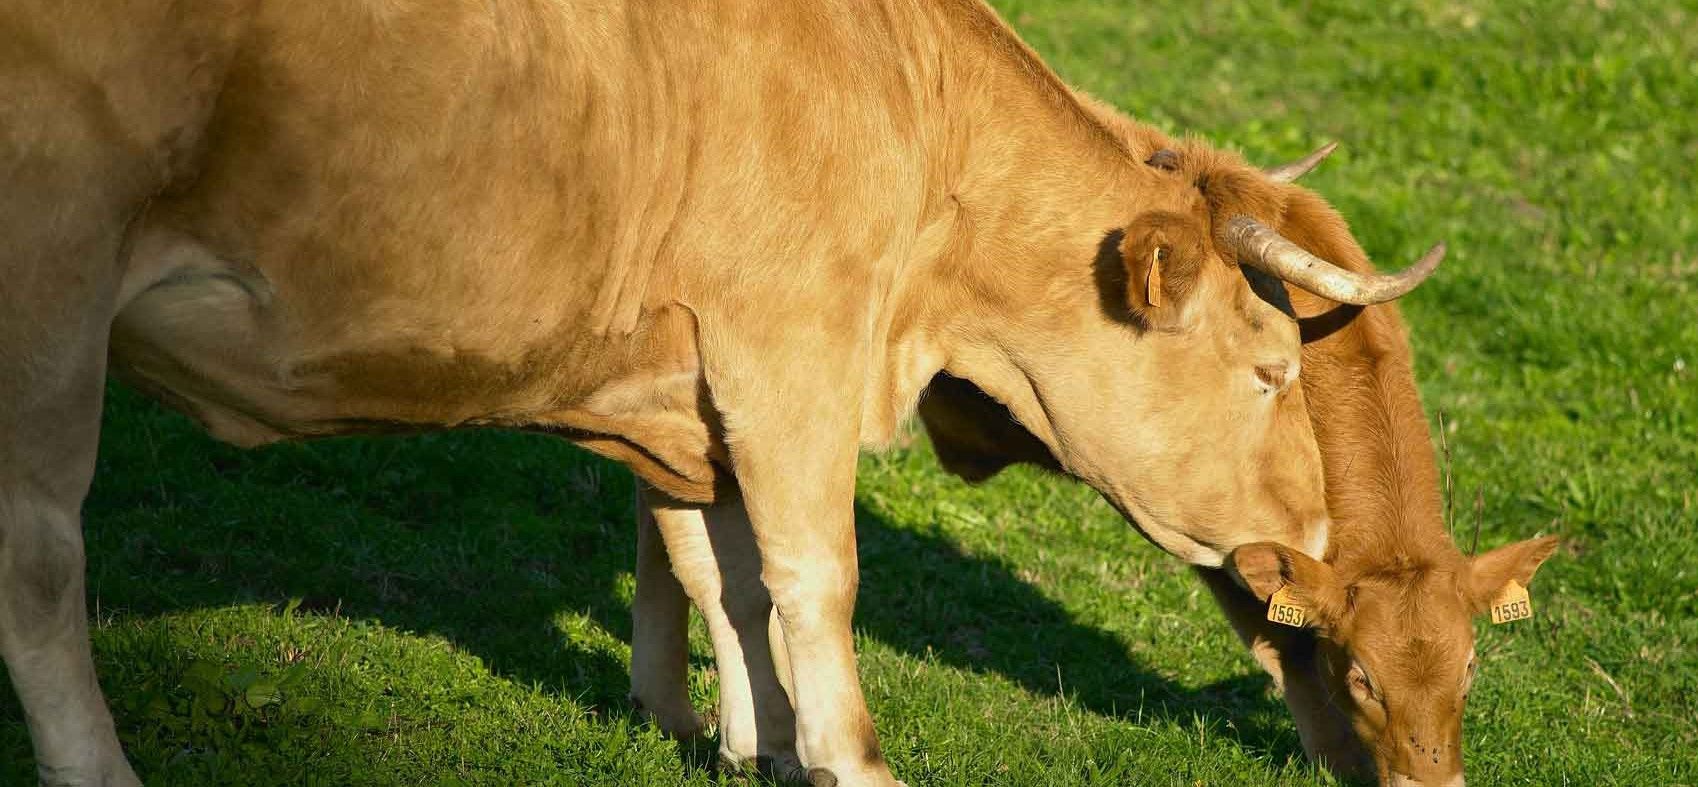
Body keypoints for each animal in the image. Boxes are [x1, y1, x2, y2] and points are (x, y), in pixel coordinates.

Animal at [0, 2, 1442, 785]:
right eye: (1268, 368)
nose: (1313, 535)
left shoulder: (688, 393)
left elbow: (723, 571)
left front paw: (754, 740)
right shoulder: (788, 354)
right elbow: (812, 576)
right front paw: (851, 755)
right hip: (51, 283)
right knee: (42, 565)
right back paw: (99, 760)